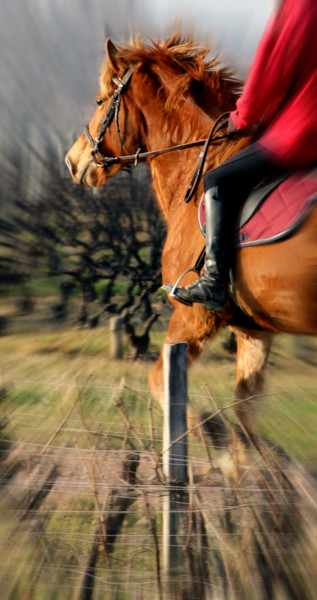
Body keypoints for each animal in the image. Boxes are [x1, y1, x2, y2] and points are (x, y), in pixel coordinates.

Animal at [65, 34, 316, 432]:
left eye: (101, 101)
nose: (72, 162)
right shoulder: (253, 330)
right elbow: (245, 411)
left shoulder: (192, 319)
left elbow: (162, 384)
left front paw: (207, 429)